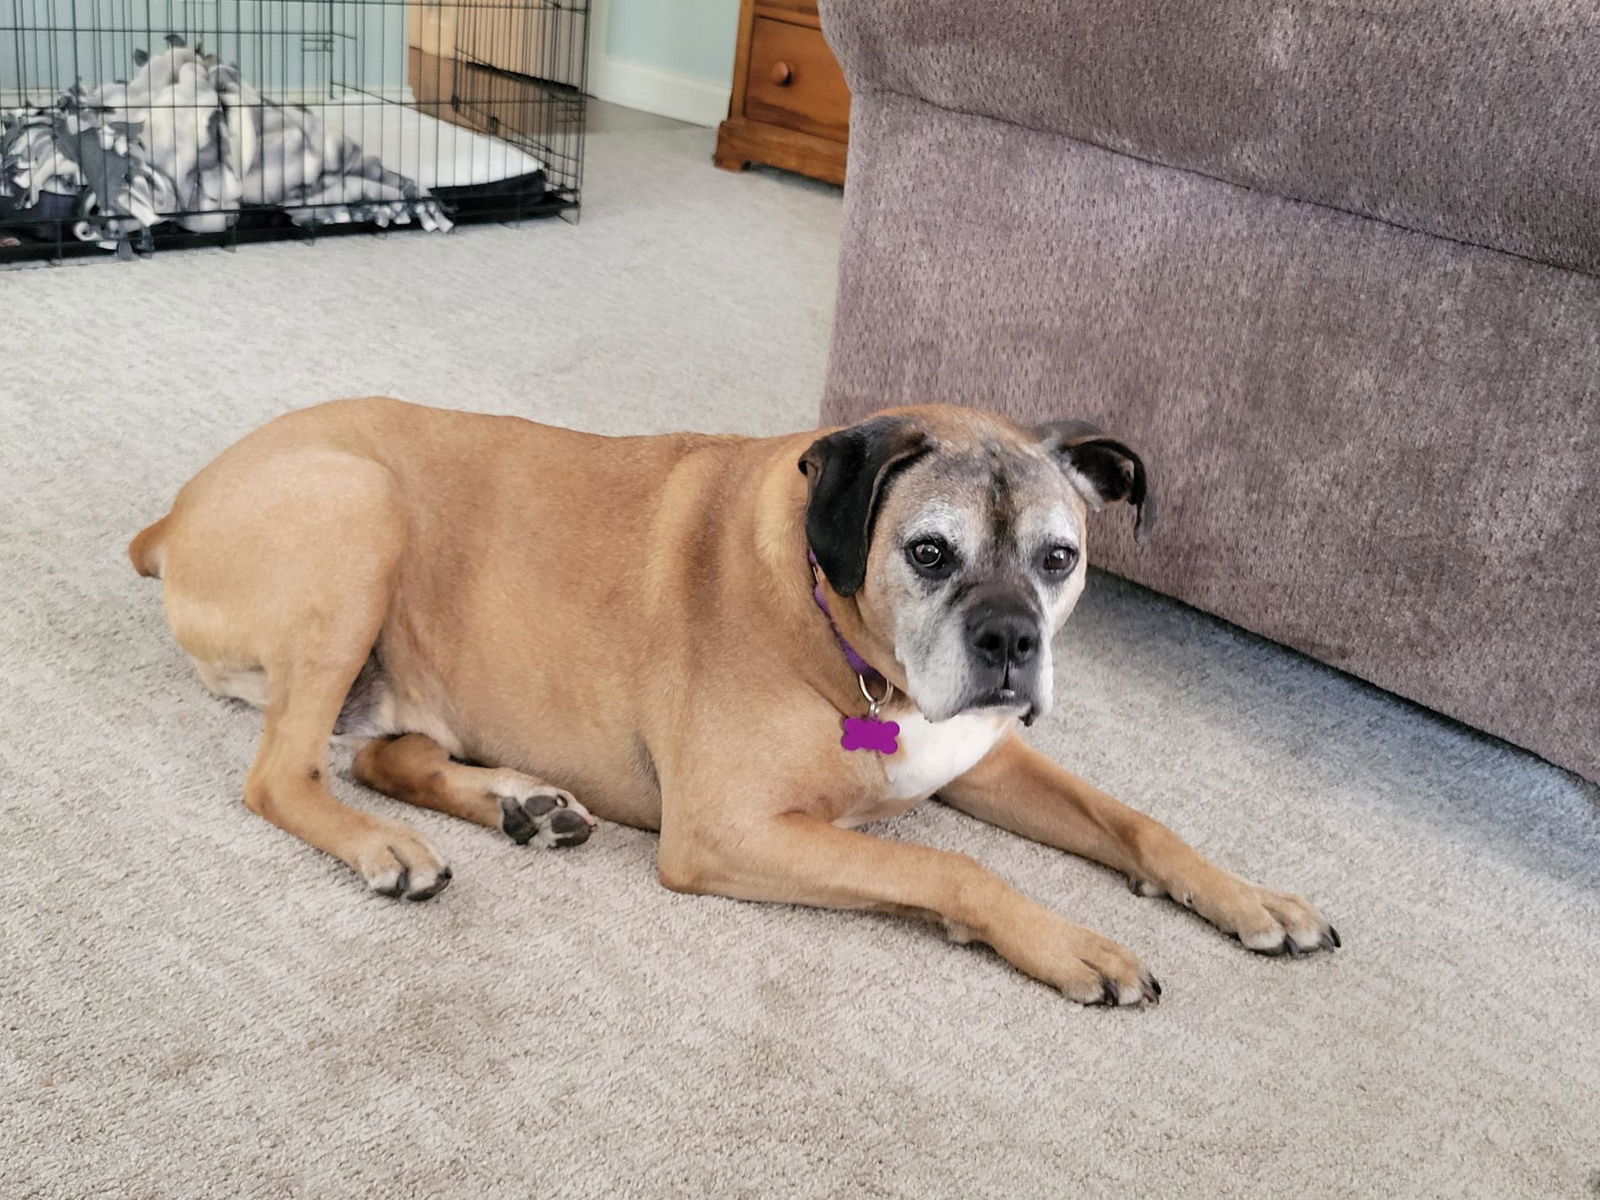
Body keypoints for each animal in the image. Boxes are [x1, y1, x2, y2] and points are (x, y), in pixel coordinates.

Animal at [131, 401, 1337, 1004]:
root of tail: (175, 510)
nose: (1009, 642)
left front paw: (1250, 899)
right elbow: (951, 869)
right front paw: (1071, 944)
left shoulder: (986, 756)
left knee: (384, 754)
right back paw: (385, 846)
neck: (845, 637)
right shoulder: (726, 834)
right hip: (358, 516)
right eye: (928, 552)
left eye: (1059, 558)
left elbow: (1135, 820)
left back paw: (520, 802)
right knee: (282, 777)